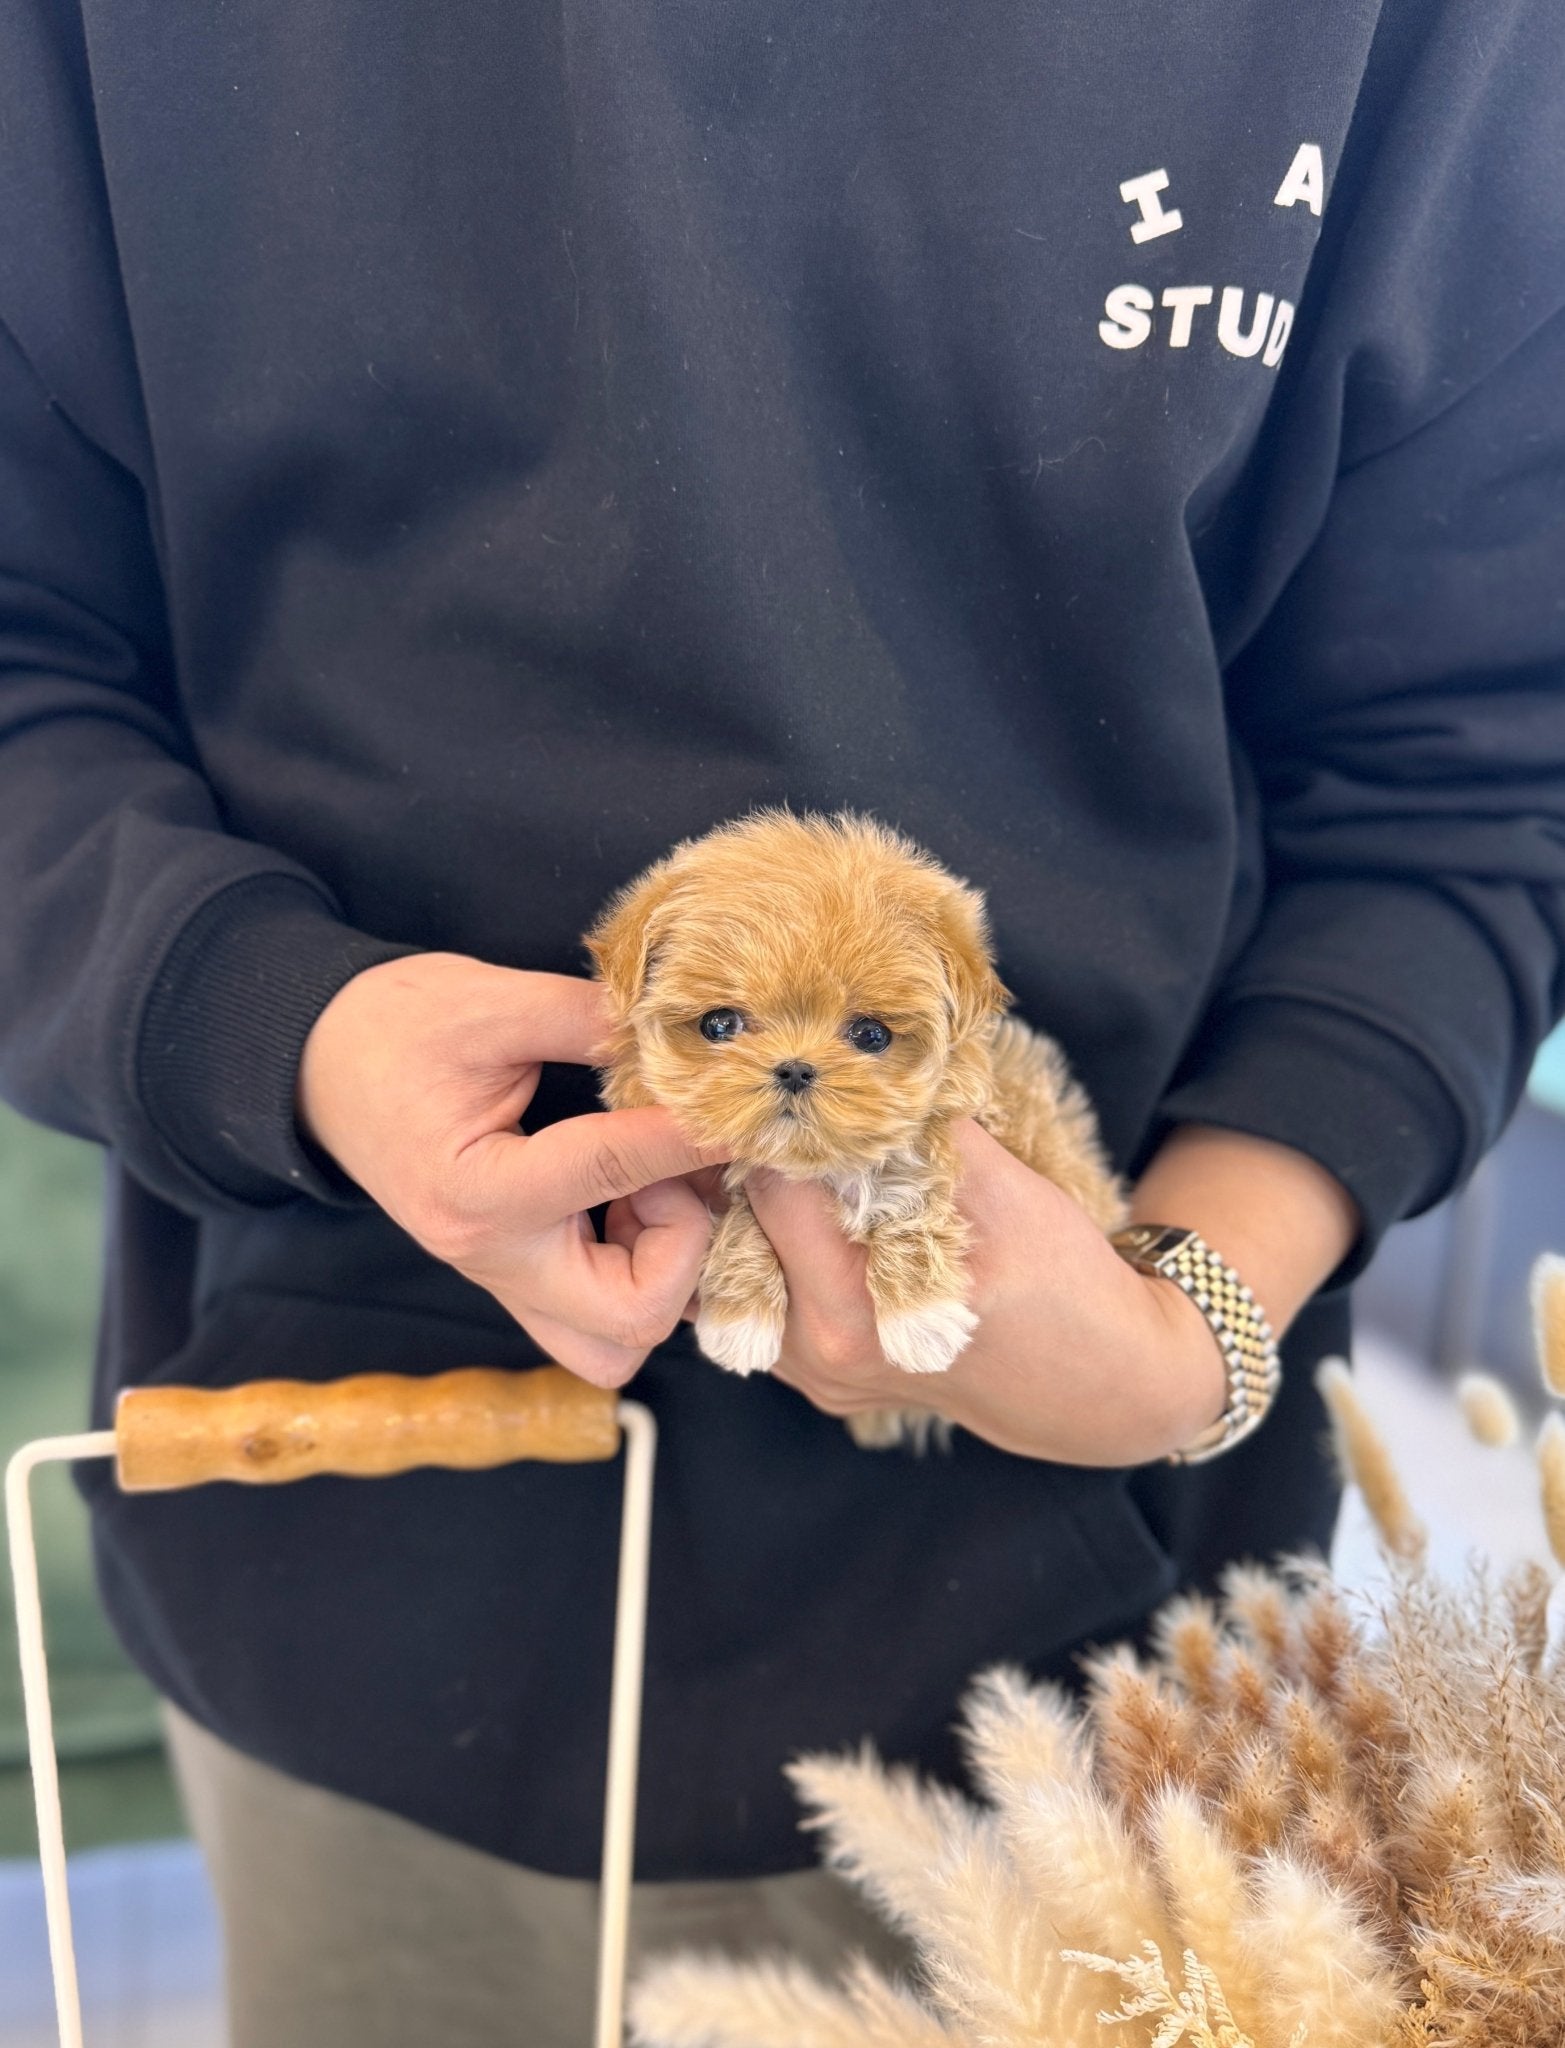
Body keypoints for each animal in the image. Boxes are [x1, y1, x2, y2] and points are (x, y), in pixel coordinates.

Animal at [585, 806, 1122, 1449]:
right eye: (719, 1025)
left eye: (871, 1035)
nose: (794, 1068)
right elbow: (744, 1210)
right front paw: (740, 1317)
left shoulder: (954, 1128)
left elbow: (904, 1191)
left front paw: (920, 1319)